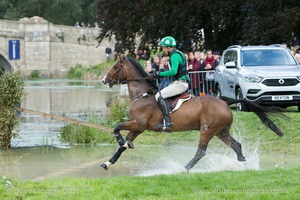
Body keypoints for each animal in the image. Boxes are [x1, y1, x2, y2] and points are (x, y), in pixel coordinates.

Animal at [100, 54, 286, 170]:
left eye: (115, 67)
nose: (103, 80)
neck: (142, 94)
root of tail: (225, 102)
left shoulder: (138, 124)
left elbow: (116, 128)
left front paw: (121, 141)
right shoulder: (138, 128)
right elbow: (121, 147)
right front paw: (108, 162)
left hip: (207, 131)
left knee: (201, 152)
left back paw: (183, 168)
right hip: (221, 131)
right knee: (236, 145)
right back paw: (243, 164)